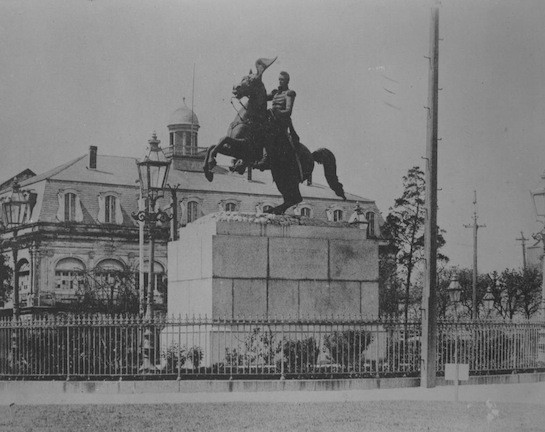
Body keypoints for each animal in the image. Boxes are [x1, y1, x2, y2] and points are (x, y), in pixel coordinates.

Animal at [204, 58, 344, 215]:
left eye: (252, 80)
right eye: (243, 78)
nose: (236, 88)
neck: (249, 118)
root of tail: (311, 155)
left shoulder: (244, 147)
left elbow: (223, 140)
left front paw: (211, 164)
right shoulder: (234, 149)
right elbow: (213, 145)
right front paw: (208, 170)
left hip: (288, 178)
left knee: (296, 198)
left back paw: (271, 210)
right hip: (279, 175)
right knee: (292, 198)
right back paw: (272, 210)